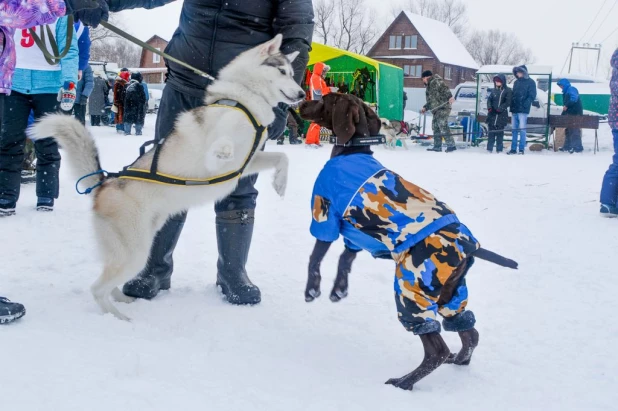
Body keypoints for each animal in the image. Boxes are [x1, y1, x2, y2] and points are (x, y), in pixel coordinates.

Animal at [31, 33, 306, 320]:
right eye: (282, 71)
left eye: (292, 73)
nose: (302, 94)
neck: (246, 100)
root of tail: (104, 184)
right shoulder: (221, 152)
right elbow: (221, 143)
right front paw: (222, 147)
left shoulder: (248, 161)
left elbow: (282, 158)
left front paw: (280, 182)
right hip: (135, 252)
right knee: (97, 289)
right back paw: (119, 318)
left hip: (139, 242)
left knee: (108, 284)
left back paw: (124, 300)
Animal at [298, 93, 516, 392]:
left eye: (326, 99)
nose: (299, 101)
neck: (354, 150)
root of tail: (469, 246)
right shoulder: (356, 233)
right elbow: (345, 260)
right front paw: (338, 290)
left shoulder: (325, 214)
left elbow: (315, 258)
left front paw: (312, 289)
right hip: (450, 295)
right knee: (469, 332)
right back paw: (460, 360)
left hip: (411, 289)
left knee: (437, 350)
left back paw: (404, 383)